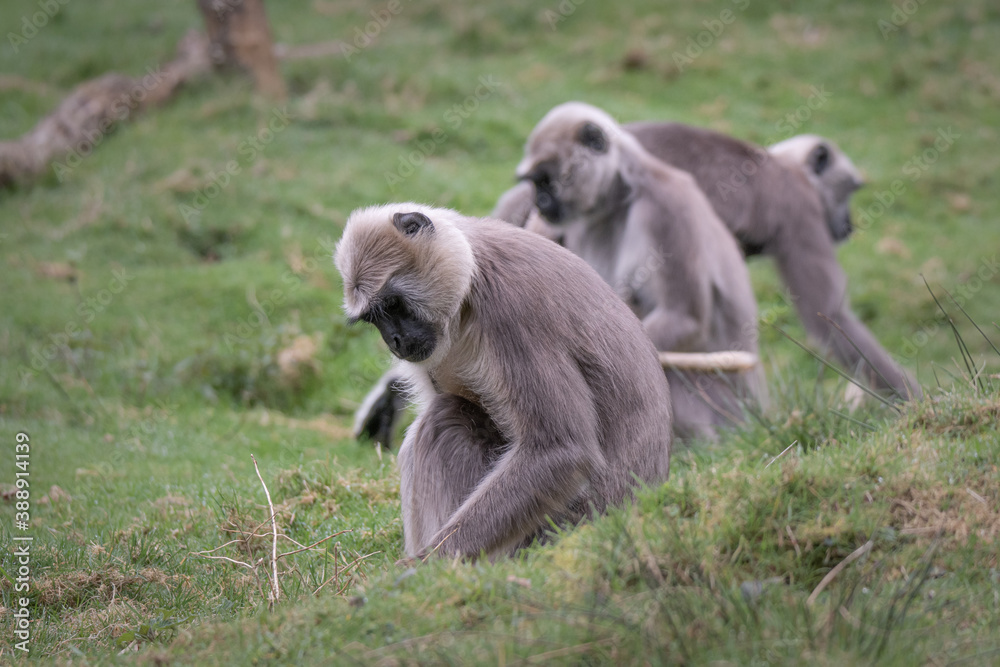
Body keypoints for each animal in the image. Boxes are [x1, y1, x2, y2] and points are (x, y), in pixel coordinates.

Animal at [335, 203, 673, 559]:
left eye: (393, 305)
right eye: (375, 319)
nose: (395, 340)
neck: (472, 275)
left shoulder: (513, 307)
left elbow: (561, 450)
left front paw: (425, 566)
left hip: (553, 529)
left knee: (445, 418)